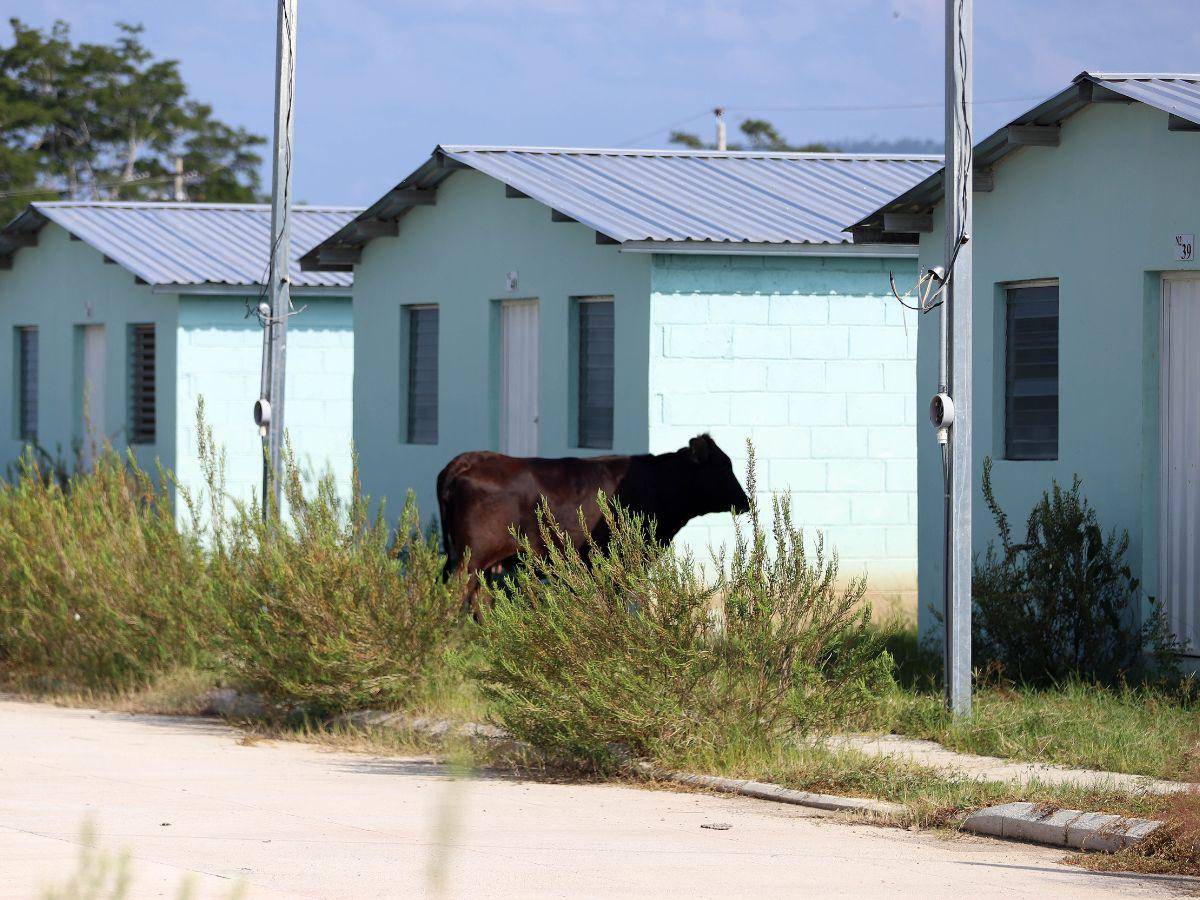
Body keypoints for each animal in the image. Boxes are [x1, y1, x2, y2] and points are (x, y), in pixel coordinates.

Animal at [432, 434, 748, 609]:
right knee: (454, 596)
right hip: (470, 558)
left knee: (480, 600)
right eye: (724, 467)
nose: (745, 502)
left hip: (481, 564)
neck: (656, 484)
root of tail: (468, 460)